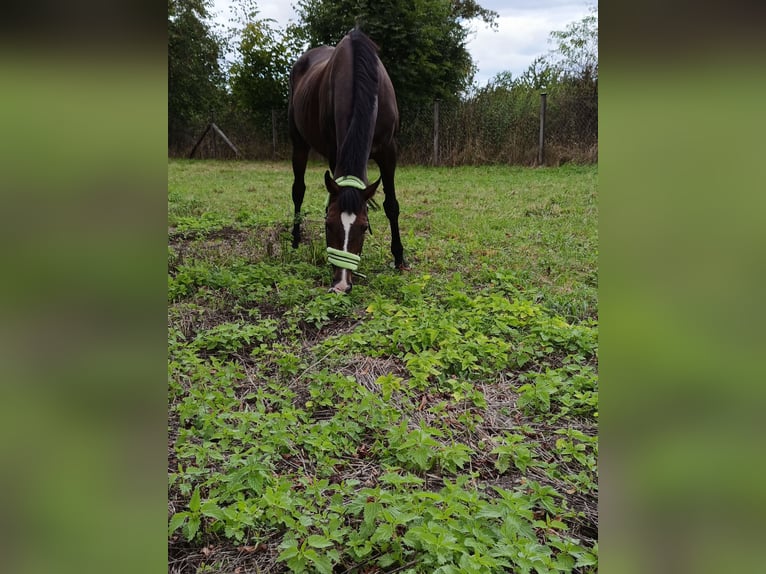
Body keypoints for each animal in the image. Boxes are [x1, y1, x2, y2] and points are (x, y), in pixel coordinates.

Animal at [288, 28, 406, 294]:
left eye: (363, 226)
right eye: (328, 224)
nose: (341, 285)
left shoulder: (388, 150)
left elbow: (391, 205)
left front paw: (400, 258)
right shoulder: (335, 152)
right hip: (299, 143)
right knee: (298, 190)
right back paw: (295, 240)